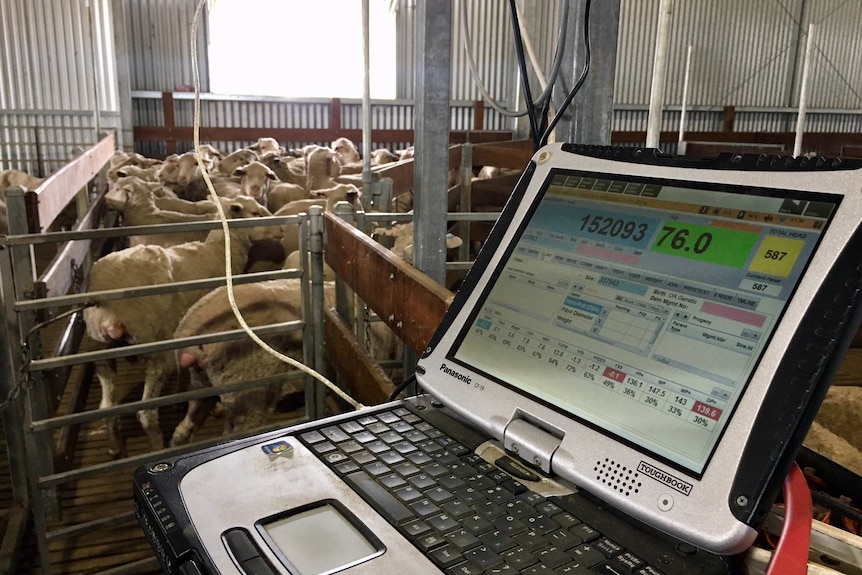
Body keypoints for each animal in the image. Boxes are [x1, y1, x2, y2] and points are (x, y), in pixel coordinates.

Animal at [83, 200, 282, 456]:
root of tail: (106, 304)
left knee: (107, 406)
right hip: (155, 348)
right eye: (255, 213)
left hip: (100, 352)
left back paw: (115, 446)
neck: (219, 250)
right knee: (146, 413)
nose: (280, 229)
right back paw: (158, 448)